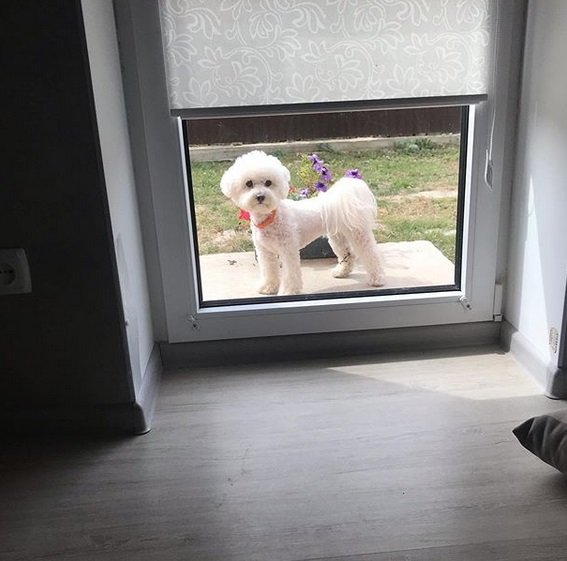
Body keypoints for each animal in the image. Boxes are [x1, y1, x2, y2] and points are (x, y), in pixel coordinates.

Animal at [221, 149, 386, 298]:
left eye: (268, 182)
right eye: (249, 183)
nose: (260, 196)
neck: (271, 217)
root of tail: (337, 199)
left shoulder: (288, 250)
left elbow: (291, 274)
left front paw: (288, 291)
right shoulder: (265, 252)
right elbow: (269, 271)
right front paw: (268, 287)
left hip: (358, 234)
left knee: (371, 255)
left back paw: (377, 279)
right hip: (337, 237)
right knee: (348, 255)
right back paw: (341, 272)